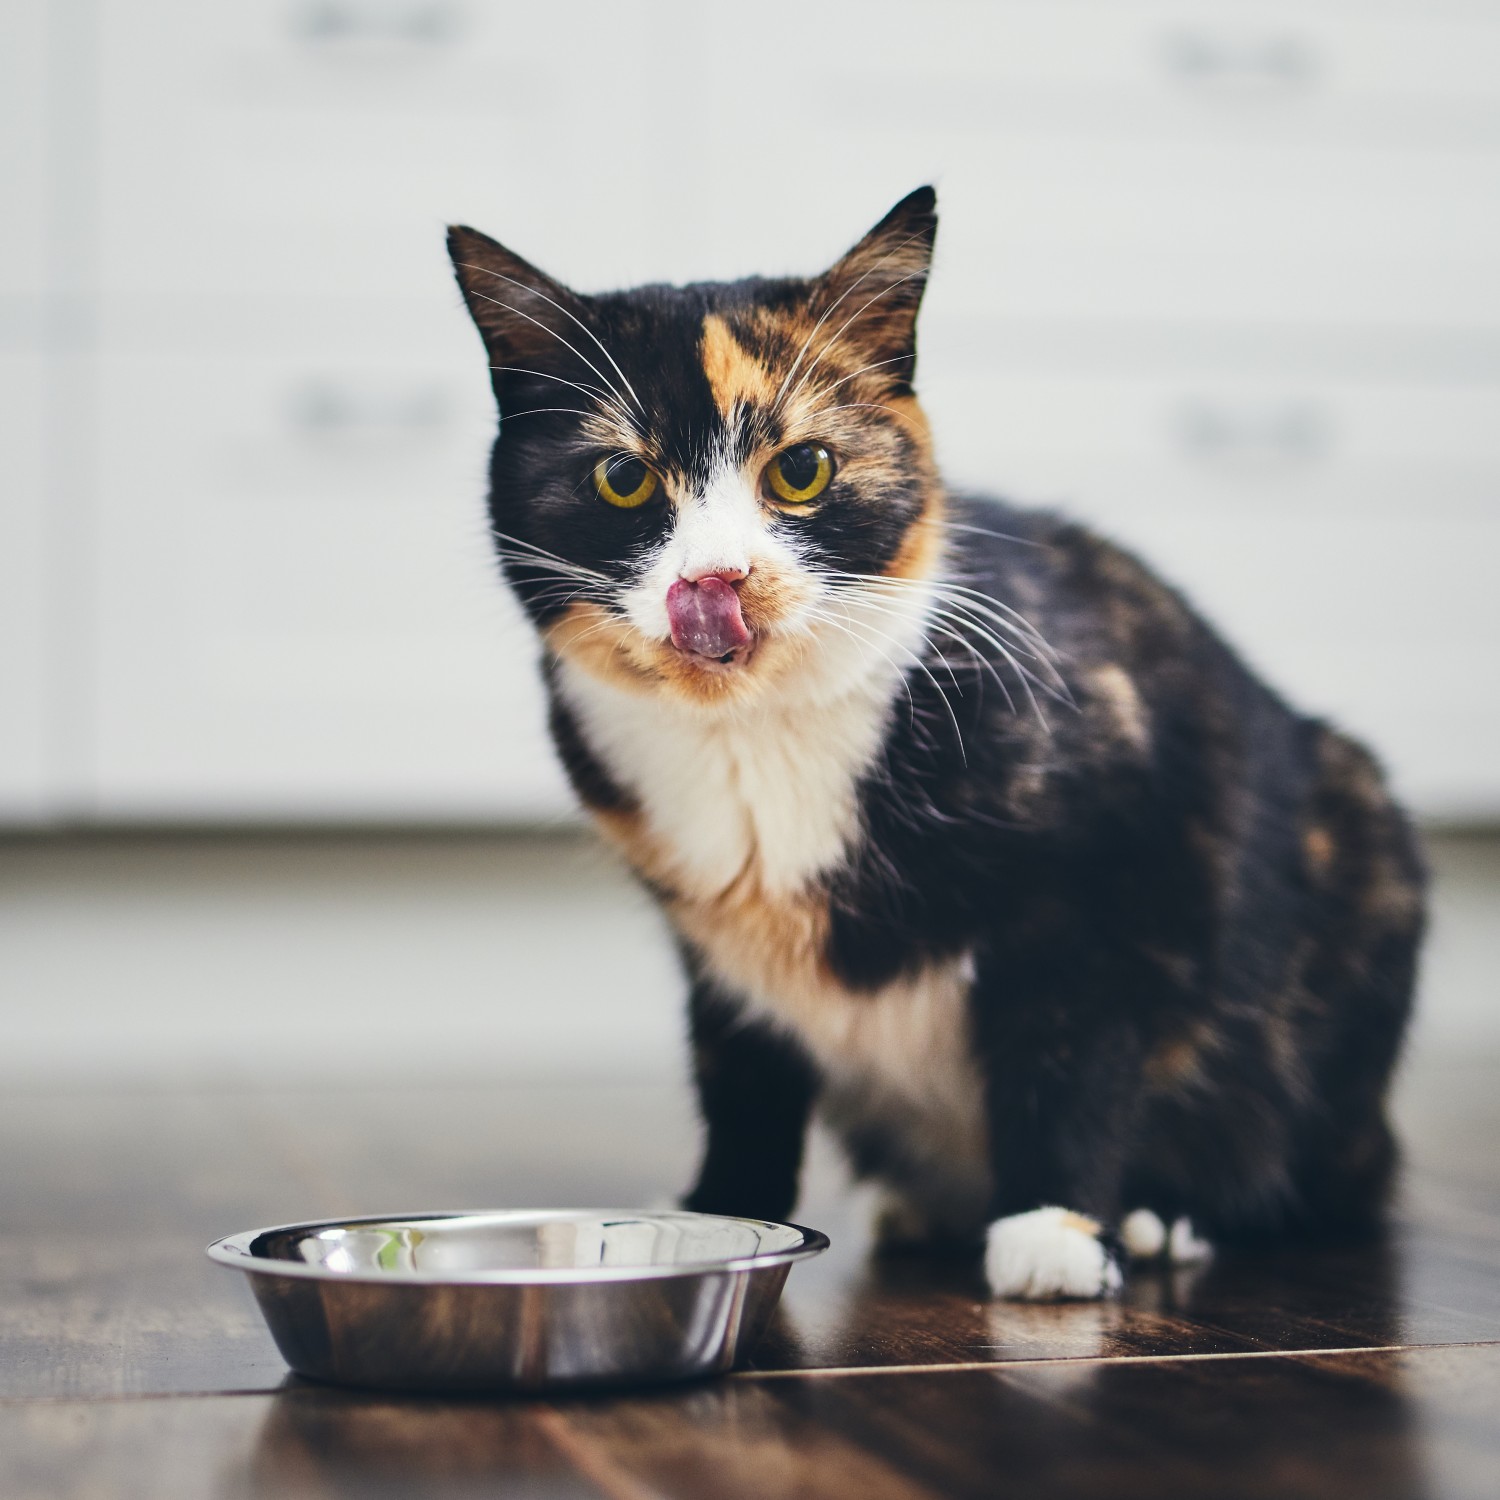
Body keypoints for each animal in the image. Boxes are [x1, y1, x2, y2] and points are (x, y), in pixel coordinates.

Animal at [441, 184, 1416, 1290]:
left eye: (803, 469)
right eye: (622, 480)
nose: (716, 579)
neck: (755, 737)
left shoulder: (1105, 865)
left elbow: (1069, 1046)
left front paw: (1053, 1228)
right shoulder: (715, 949)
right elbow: (741, 1076)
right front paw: (720, 1212)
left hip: (1356, 850)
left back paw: (1167, 1215)